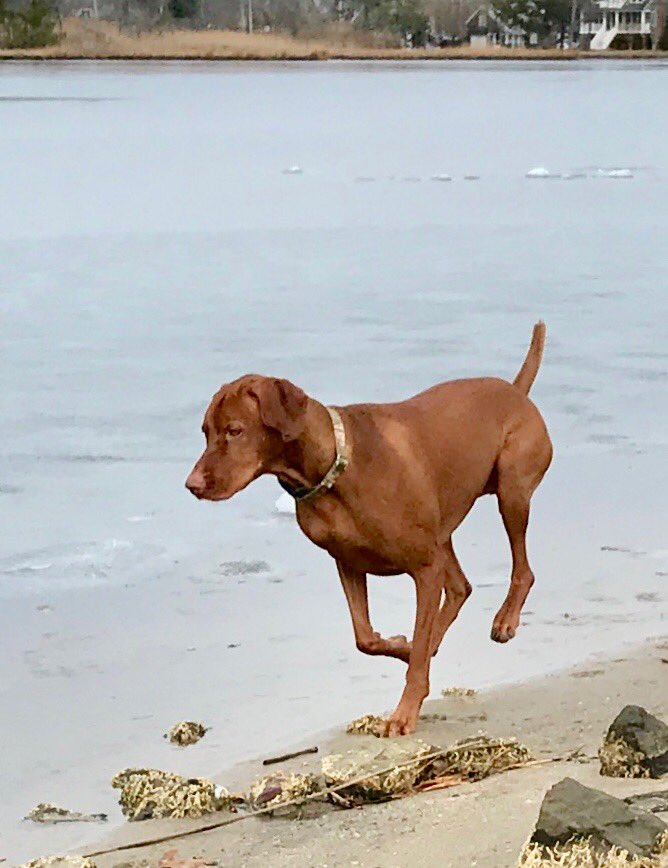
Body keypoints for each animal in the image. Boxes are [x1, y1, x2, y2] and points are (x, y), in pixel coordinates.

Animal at [186, 322, 552, 737]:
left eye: (235, 431)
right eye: (205, 431)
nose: (191, 484)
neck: (333, 468)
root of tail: (515, 391)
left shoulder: (424, 569)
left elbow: (415, 654)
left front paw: (404, 713)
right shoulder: (348, 562)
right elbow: (366, 639)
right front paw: (402, 644)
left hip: (511, 490)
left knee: (522, 569)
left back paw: (505, 619)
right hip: (442, 530)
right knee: (460, 588)